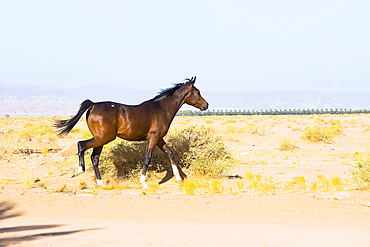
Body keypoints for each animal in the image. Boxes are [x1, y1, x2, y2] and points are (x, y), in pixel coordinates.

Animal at [53, 76, 208, 188]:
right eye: (198, 92)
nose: (206, 105)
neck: (162, 109)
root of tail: (93, 105)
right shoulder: (153, 138)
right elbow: (147, 158)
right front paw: (144, 183)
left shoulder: (159, 139)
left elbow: (170, 153)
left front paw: (179, 178)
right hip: (103, 137)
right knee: (81, 145)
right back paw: (78, 171)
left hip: (101, 139)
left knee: (95, 158)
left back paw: (100, 183)